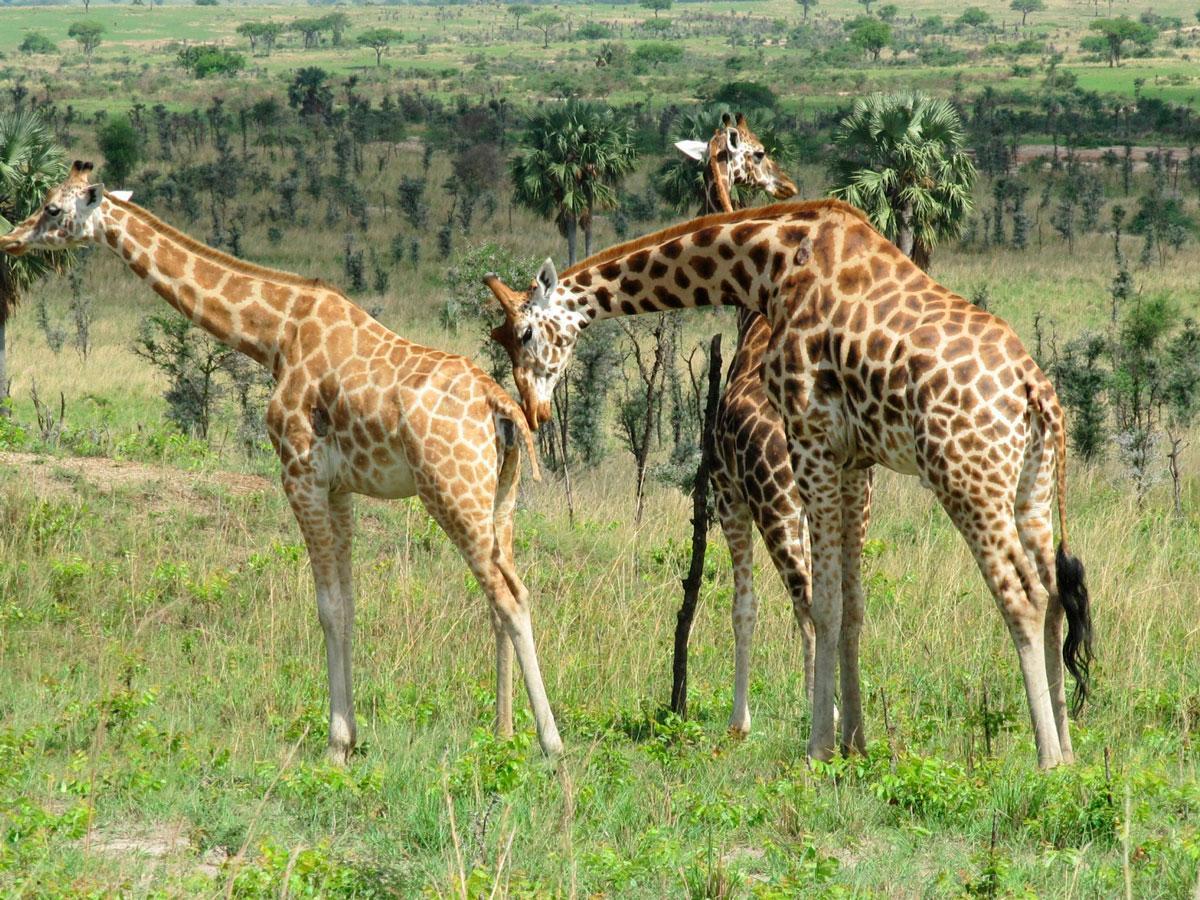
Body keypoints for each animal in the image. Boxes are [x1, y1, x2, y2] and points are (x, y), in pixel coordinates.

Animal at [0, 161, 564, 762]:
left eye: (53, 208)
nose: (11, 239)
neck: (274, 336)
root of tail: (501, 404)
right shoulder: (337, 486)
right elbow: (348, 603)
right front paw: (351, 736)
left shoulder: (298, 474)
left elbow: (327, 606)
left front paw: (336, 744)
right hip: (500, 497)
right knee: (506, 593)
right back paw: (504, 735)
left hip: (451, 491)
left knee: (510, 597)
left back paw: (551, 744)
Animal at [482, 199, 1093, 769]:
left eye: (525, 332)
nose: (533, 411)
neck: (769, 265)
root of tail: (1035, 390)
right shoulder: (853, 458)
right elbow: (851, 603)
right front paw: (855, 743)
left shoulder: (809, 435)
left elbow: (819, 604)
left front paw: (818, 746)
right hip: (1031, 487)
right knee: (1055, 593)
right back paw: (1069, 752)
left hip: (965, 477)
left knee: (1023, 595)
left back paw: (1045, 756)